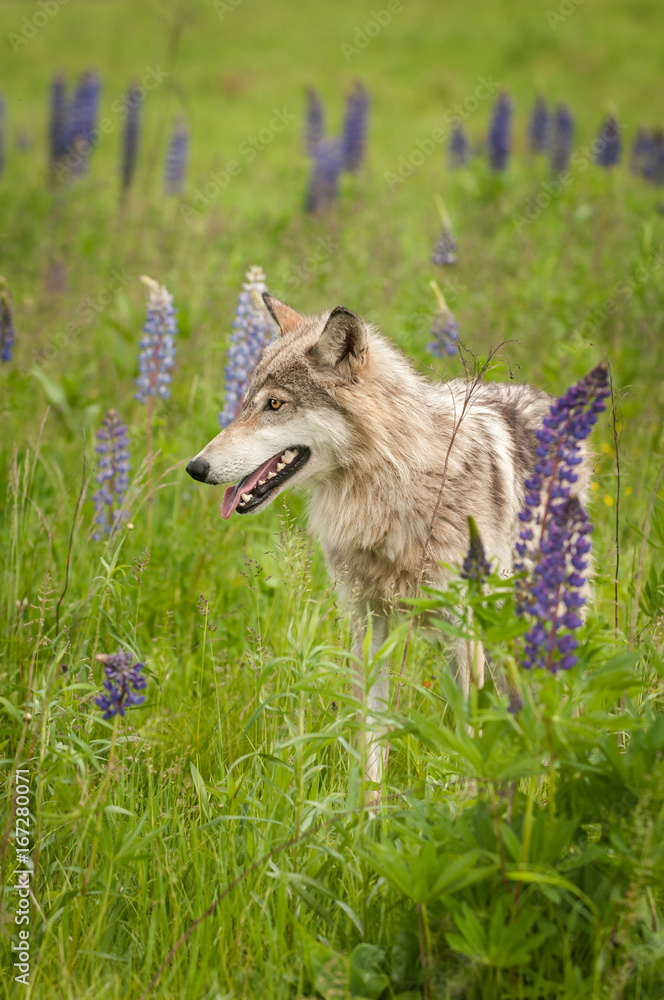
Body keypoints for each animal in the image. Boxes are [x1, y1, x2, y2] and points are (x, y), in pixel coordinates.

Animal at [186, 296, 592, 785]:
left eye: (275, 404)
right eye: (246, 402)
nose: (195, 468)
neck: (394, 491)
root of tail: (546, 399)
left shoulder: (463, 631)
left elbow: (469, 740)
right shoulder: (369, 623)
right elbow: (371, 741)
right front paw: (366, 805)